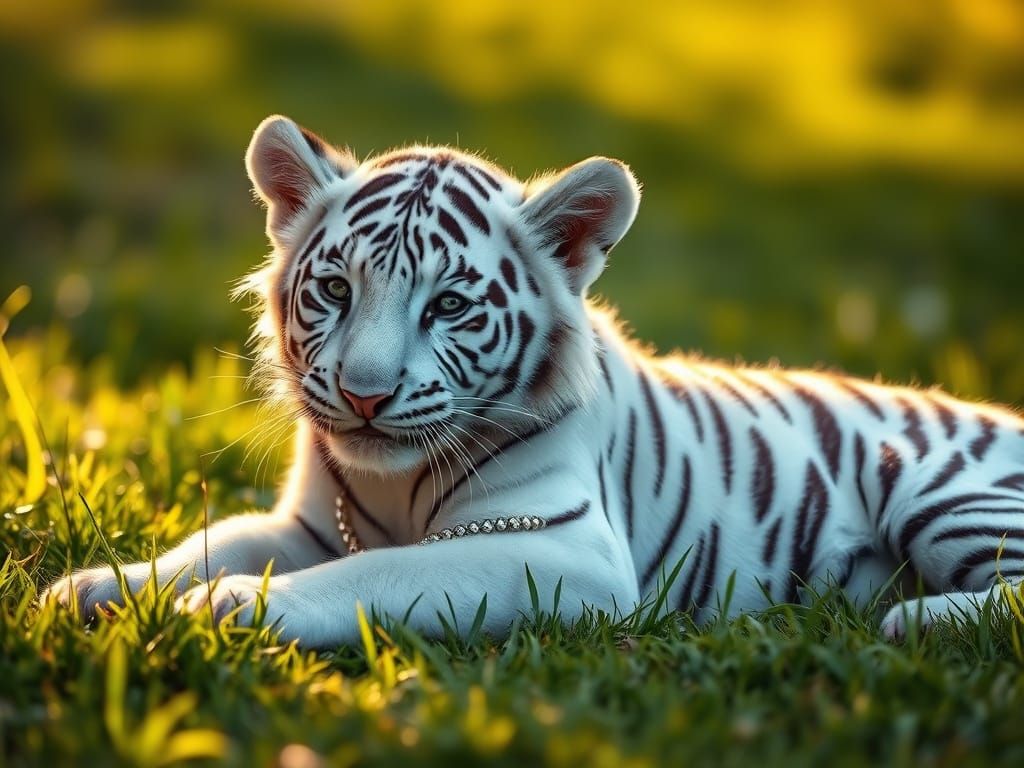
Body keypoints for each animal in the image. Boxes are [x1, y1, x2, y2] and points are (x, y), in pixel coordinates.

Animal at [46, 115, 1024, 646]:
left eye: (448, 305)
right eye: (336, 290)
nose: (363, 396)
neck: (391, 485)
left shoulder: (563, 553)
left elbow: (371, 577)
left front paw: (227, 607)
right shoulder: (308, 524)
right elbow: (217, 538)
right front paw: (96, 587)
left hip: (947, 492)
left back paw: (912, 621)